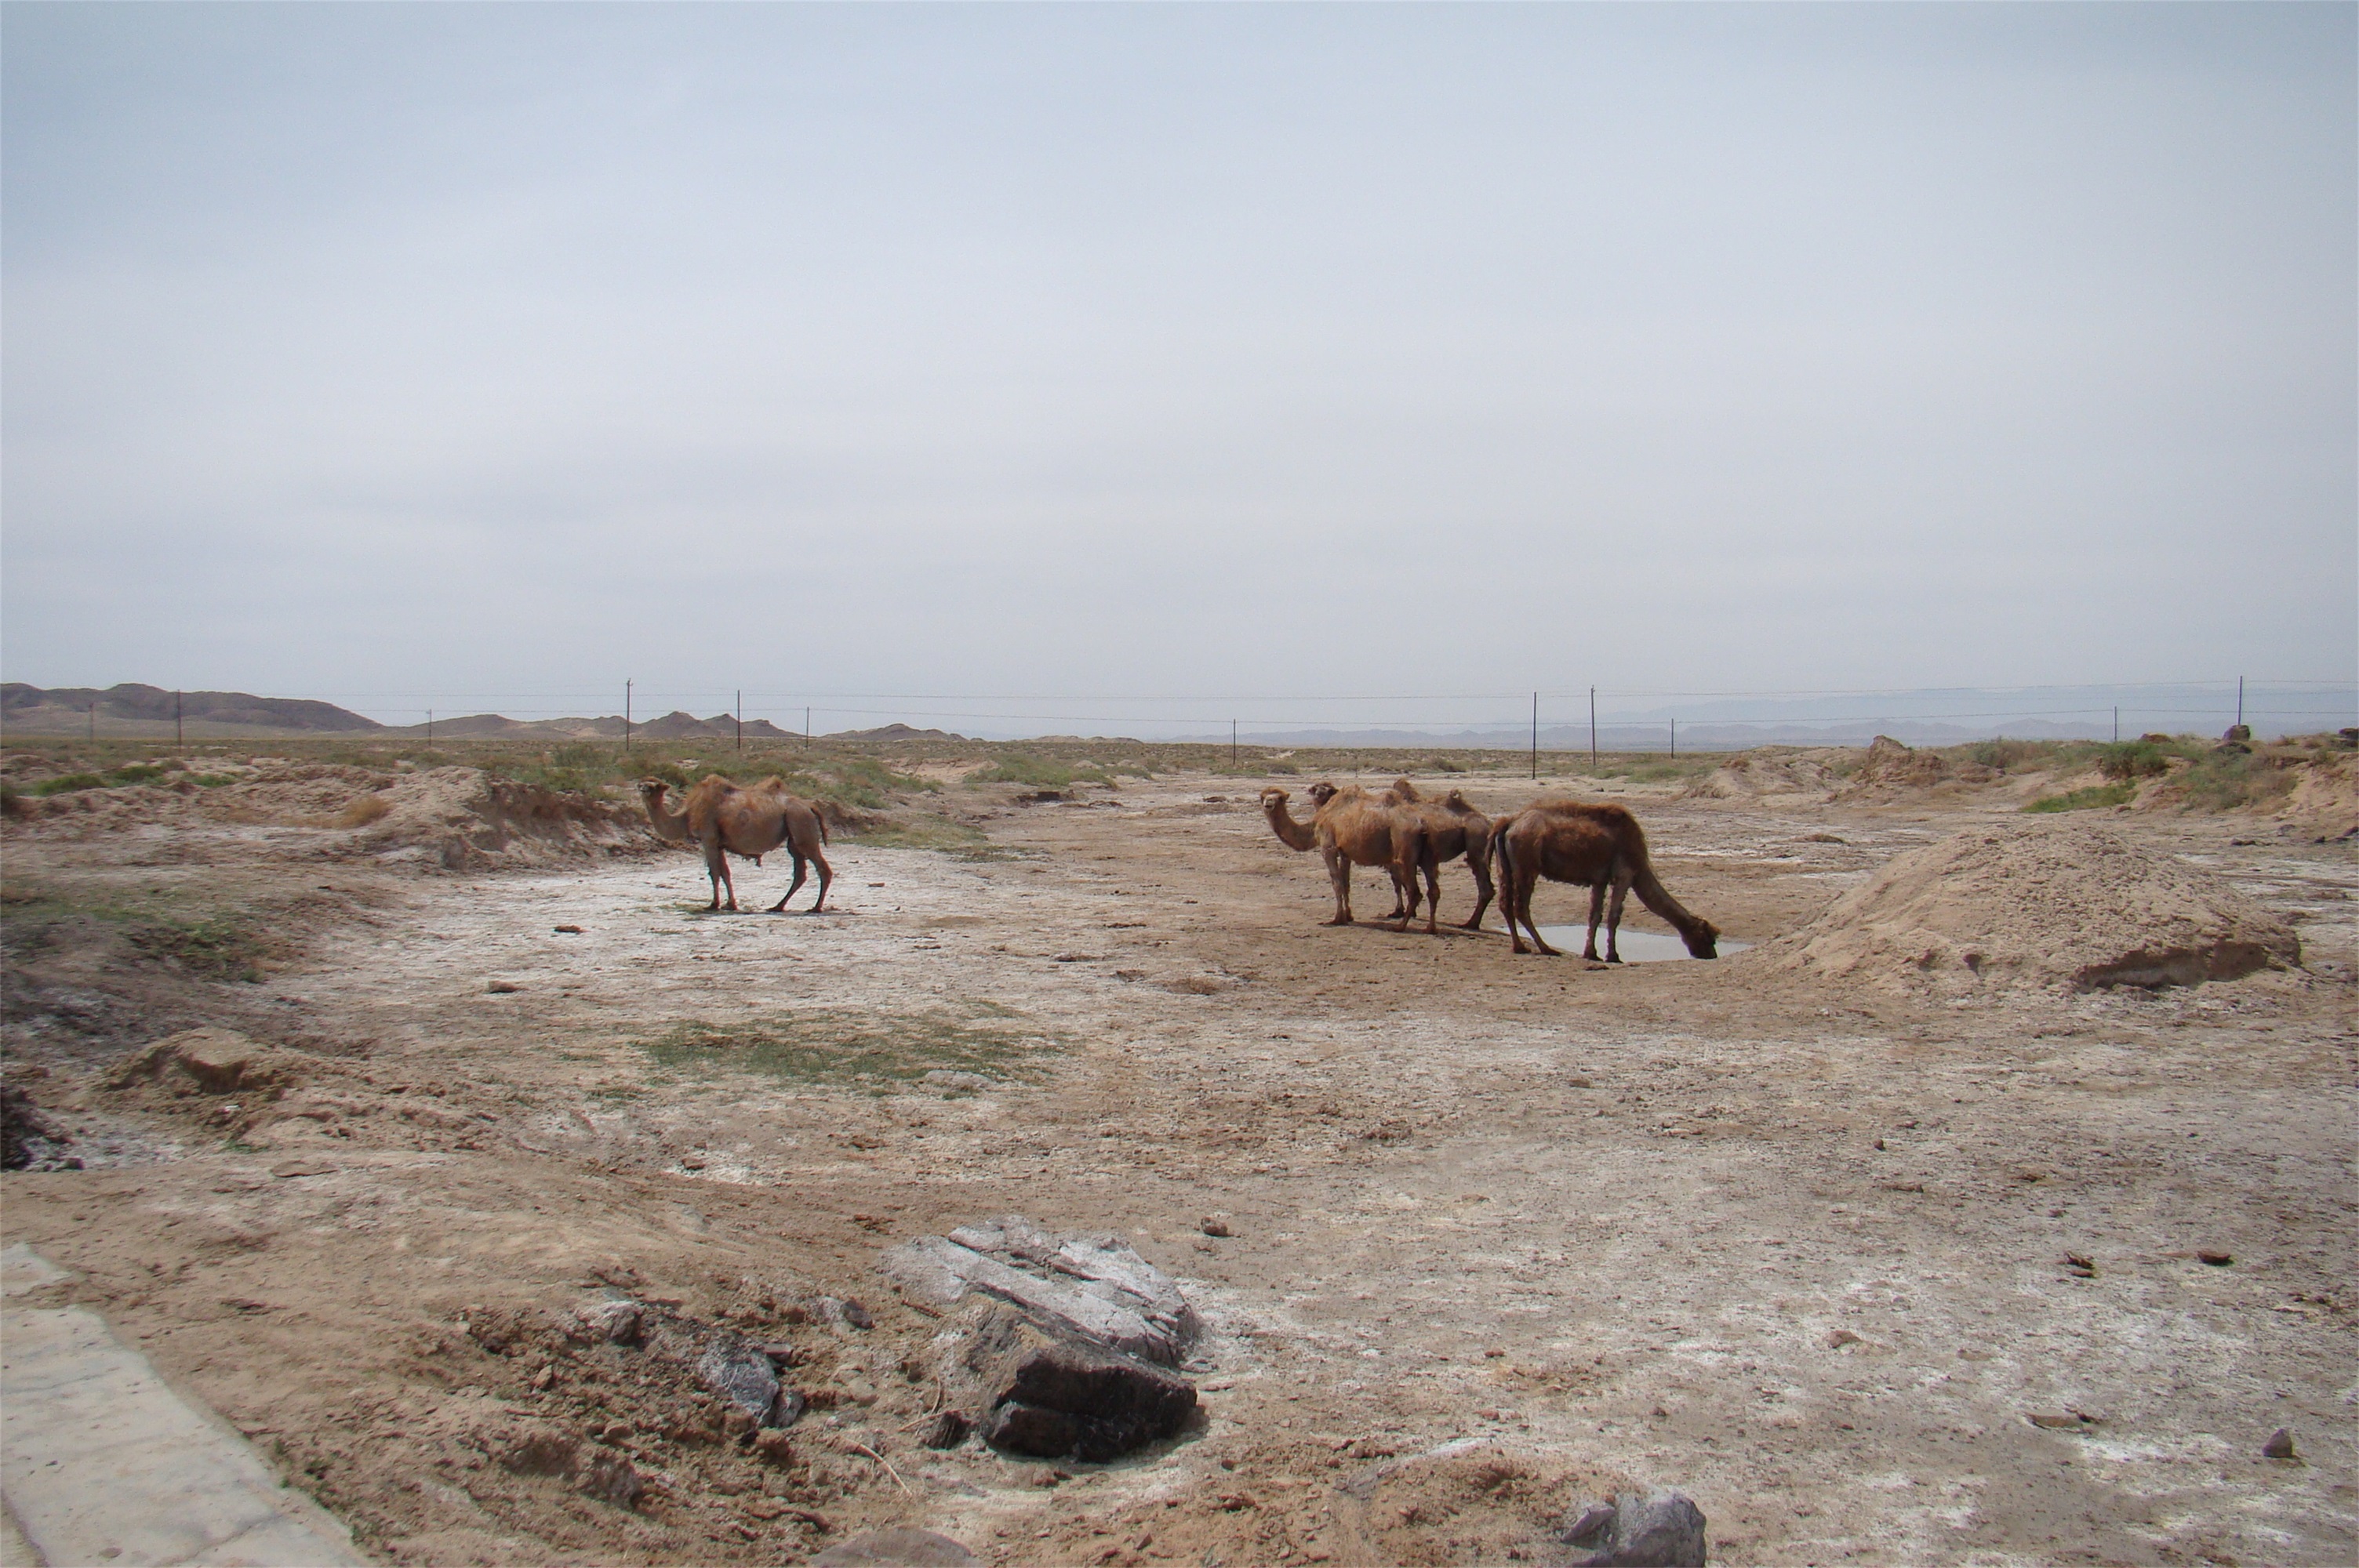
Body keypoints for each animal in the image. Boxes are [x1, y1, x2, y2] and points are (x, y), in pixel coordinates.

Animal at [642, 778, 834, 909]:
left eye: (654, 786)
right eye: (643, 784)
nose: (643, 789)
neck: (686, 815)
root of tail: (811, 806)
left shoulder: (708, 839)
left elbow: (714, 873)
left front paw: (714, 904)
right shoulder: (718, 844)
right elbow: (725, 873)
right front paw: (730, 904)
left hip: (800, 822)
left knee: (822, 868)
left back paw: (816, 908)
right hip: (794, 831)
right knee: (800, 872)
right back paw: (777, 906)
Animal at [1264, 778, 1424, 928]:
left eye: (1281, 798)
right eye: (1263, 796)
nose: (1269, 803)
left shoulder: (1328, 848)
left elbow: (1337, 883)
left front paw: (1337, 919)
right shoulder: (1345, 853)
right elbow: (1346, 882)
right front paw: (1349, 915)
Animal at [1377, 773, 1491, 928]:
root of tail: (1489, 824)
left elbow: (1398, 882)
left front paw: (1400, 912)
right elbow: (1400, 883)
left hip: (1476, 838)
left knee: (1484, 885)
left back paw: (1470, 924)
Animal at [1491, 801, 1717, 962]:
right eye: (1708, 937)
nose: (1711, 955)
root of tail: (1509, 822)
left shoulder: (1599, 880)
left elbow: (1595, 915)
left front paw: (1591, 953)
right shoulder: (1624, 876)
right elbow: (1613, 917)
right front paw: (1613, 956)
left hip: (1506, 867)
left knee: (1505, 904)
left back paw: (1520, 947)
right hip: (1527, 866)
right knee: (1521, 907)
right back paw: (1546, 948)